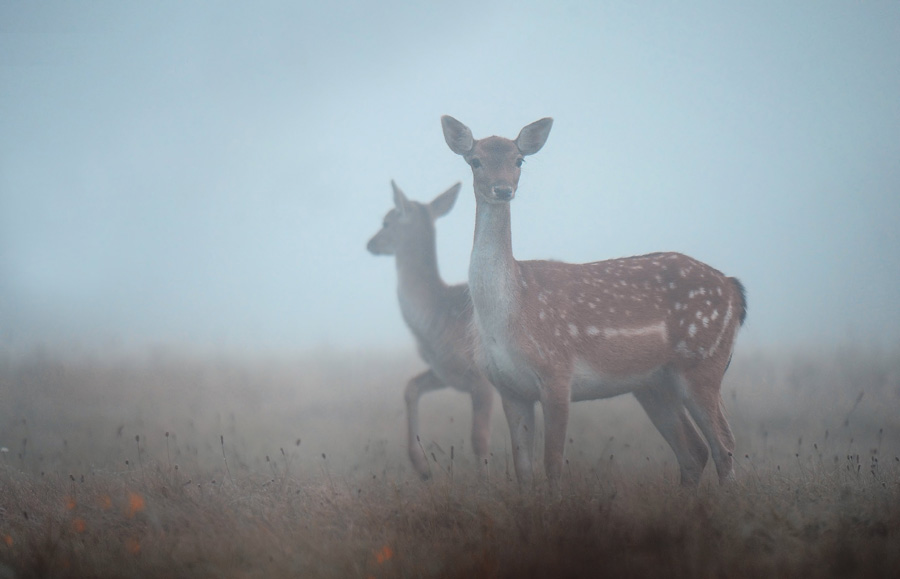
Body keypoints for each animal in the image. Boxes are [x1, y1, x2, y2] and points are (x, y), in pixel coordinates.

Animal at [366, 181, 496, 480]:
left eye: (387, 221)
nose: (371, 243)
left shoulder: (483, 377)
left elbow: (479, 437)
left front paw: (488, 483)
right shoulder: (445, 371)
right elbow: (411, 387)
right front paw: (422, 467)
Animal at [442, 116, 744, 490]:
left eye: (518, 160)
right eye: (475, 160)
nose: (502, 189)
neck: (507, 314)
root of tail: (734, 290)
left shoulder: (557, 372)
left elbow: (552, 465)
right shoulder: (509, 388)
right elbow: (523, 470)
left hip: (702, 362)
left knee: (724, 444)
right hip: (655, 384)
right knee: (695, 451)